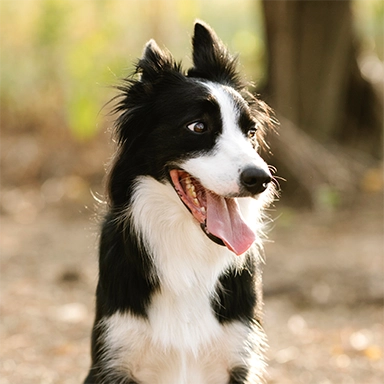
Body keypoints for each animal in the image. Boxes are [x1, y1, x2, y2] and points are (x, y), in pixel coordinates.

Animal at [84, 20, 276, 384]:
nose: (261, 179)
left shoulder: (238, 355)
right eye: (198, 126)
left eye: (250, 132)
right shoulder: (115, 355)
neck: (189, 250)